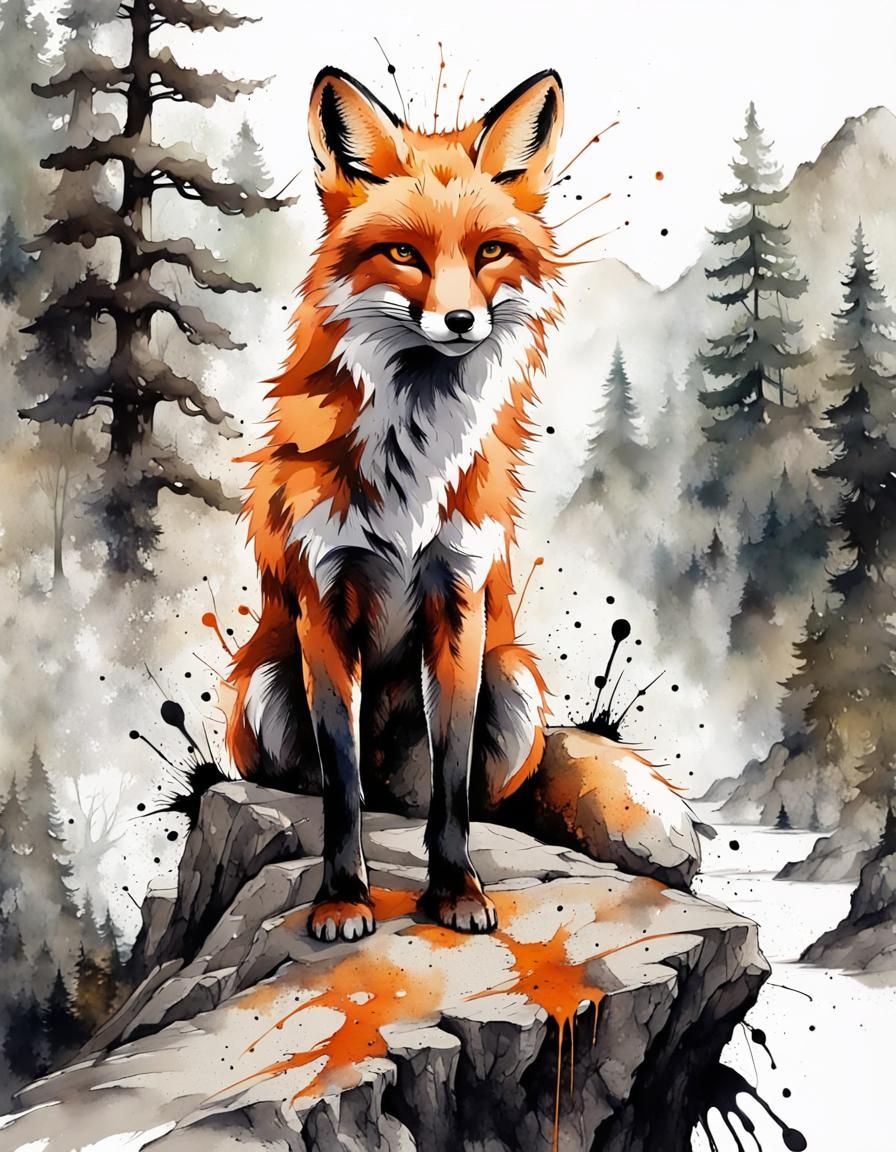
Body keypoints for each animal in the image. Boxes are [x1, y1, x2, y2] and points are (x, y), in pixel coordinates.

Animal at [224, 65, 564, 943]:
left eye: (488, 252)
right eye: (404, 253)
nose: (460, 320)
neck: (414, 456)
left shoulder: (459, 598)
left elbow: (451, 785)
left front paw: (455, 890)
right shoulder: (325, 601)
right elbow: (341, 787)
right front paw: (344, 898)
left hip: (515, 686)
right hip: (267, 682)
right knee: (335, 787)